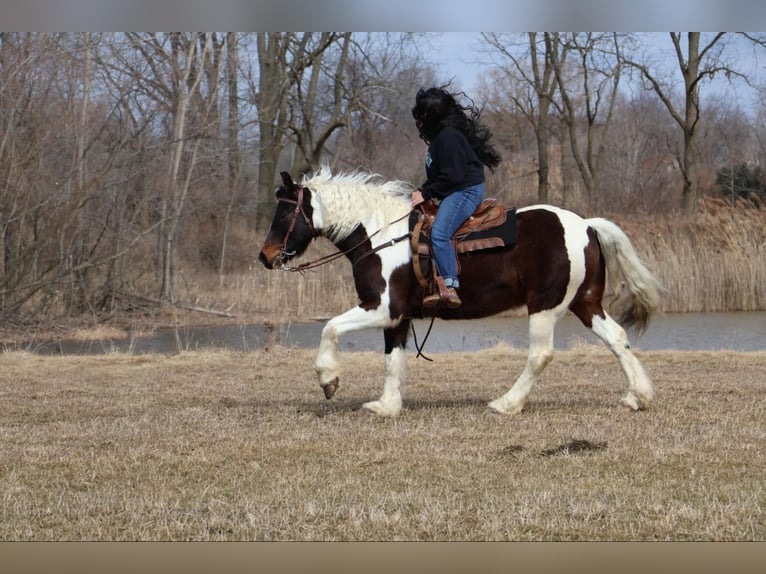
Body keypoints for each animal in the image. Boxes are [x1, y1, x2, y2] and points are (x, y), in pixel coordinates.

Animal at [258, 165, 662, 417]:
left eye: (284, 213)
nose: (265, 256)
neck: (380, 235)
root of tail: (586, 225)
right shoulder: (398, 317)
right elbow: (393, 360)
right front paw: (387, 406)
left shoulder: (381, 307)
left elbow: (330, 328)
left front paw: (329, 379)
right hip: (585, 303)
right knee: (617, 338)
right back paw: (638, 396)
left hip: (545, 306)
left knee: (541, 355)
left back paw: (506, 403)